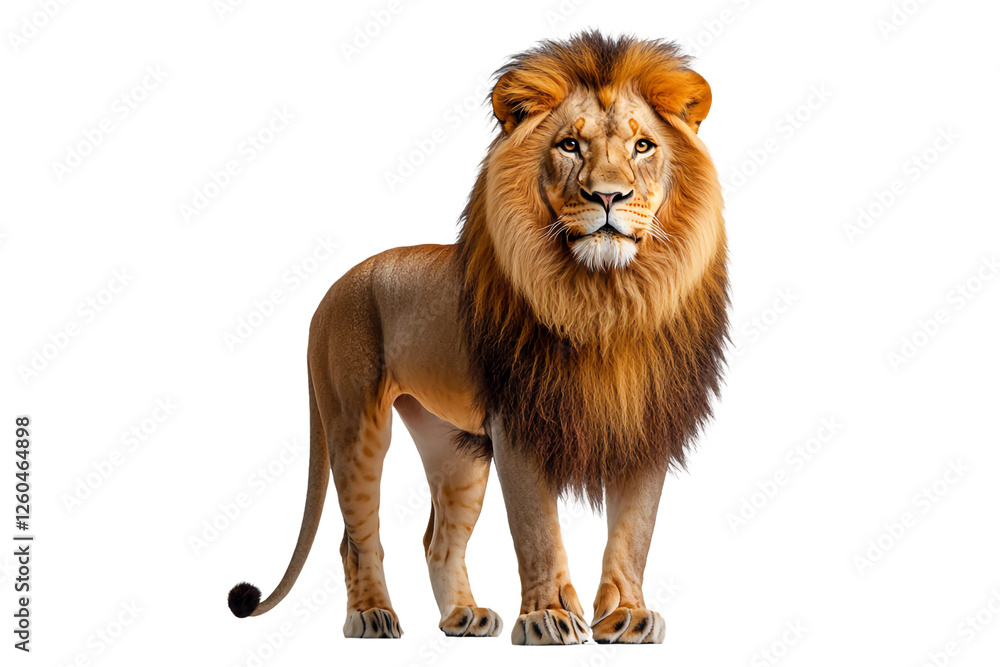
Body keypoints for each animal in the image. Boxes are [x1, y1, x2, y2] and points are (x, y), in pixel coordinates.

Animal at [228, 31, 728, 645]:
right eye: (569, 145)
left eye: (642, 146)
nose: (608, 196)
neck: (606, 300)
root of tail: (332, 290)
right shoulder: (517, 424)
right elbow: (537, 530)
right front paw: (547, 616)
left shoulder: (644, 421)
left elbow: (635, 531)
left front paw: (627, 616)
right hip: (355, 424)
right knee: (355, 536)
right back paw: (370, 616)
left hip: (453, 447)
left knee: (438, 540)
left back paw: (463, 617)